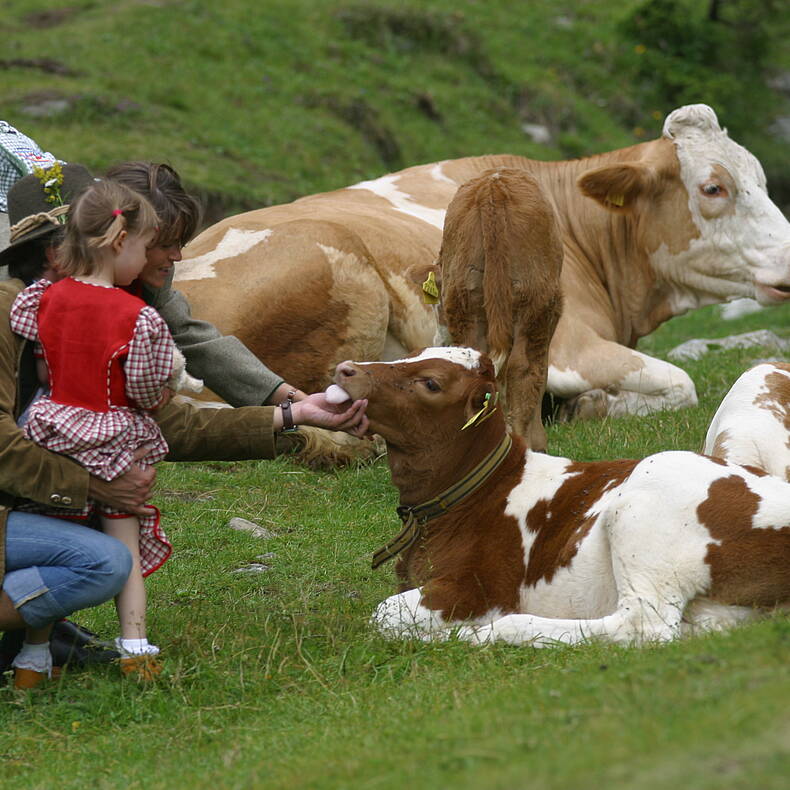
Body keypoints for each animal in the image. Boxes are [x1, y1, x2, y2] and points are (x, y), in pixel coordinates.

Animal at [175, 106, 790, 464]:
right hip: (349, 281)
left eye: (763, 180)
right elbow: (681, 383)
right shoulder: (569, 345)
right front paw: (586, 406)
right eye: (713, 188)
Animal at [332, 350, 790, 648]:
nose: (346, 369)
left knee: (644, 626)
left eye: (430, 382)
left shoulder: (476, 588)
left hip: (649, 510)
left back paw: (493, 632)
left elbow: (384, 614)